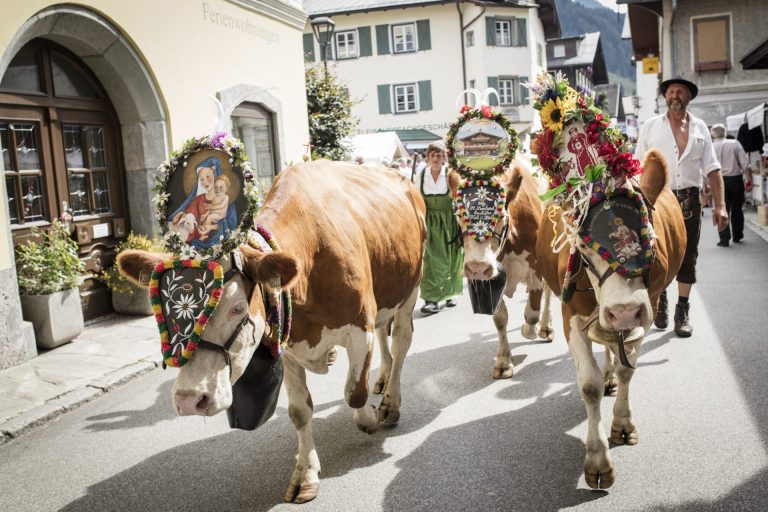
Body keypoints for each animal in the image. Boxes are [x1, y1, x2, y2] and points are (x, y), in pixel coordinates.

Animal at [117, 133, 426, 504]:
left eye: (237, 307)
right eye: (161, 308)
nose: (190, 399)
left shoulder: (358, 329)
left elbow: (354, 391)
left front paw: (367, 419)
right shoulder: (289, 343)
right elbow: (299, 411)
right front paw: (306, 474)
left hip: (410, 288)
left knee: (403, 338)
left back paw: (390, 401)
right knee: (385, 335)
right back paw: (382, 378)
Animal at [444, 98, 552, 378]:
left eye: (501, 214)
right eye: (458, 216)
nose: (476, 267)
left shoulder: (536, 265)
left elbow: (532, 310)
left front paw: (529, 329)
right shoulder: (494, 275)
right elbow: (499, 317)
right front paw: (504, 361)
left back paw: (545, 327)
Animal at [528, 73, 684, 488]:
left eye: (648, 235)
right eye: (582, 246)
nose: (624, 311)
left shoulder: (648, 307)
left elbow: (629, 368)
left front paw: (623, 425)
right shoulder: (572, 316)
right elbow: (589, 384)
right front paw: (597, 459)